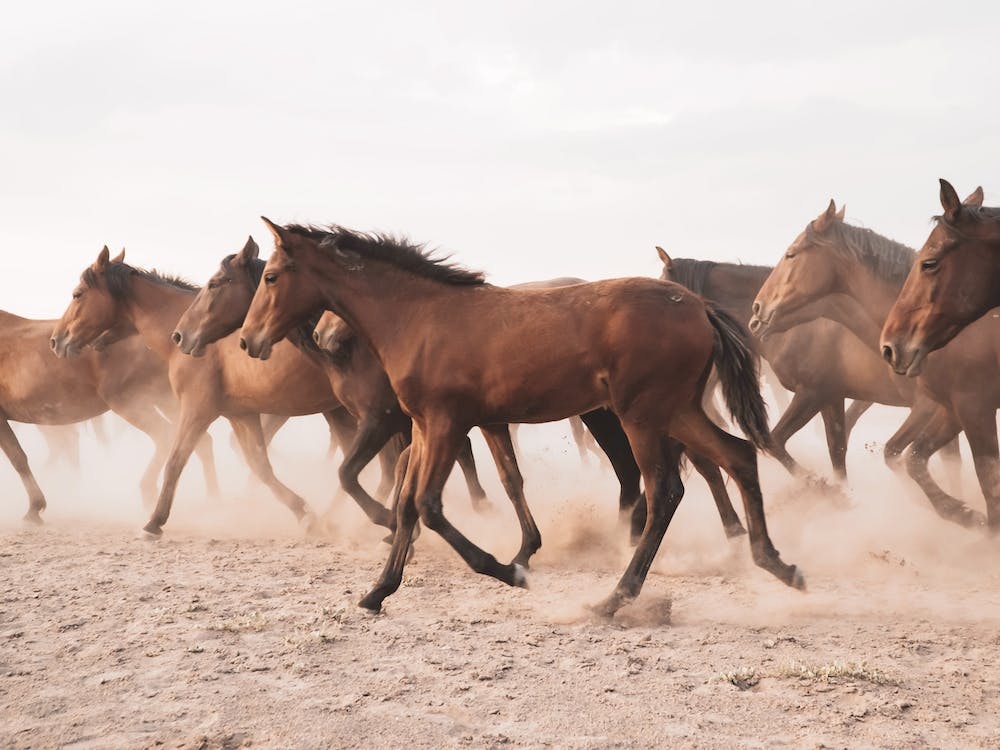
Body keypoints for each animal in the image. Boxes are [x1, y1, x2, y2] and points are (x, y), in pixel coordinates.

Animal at [50, 247, 352, 537]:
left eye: (78, 294)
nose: (56, 340)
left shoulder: (197, 409)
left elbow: (176, 460)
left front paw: (154, 522)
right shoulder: (240, 414)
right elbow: (259, 465)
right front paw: (304, 514)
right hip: (334, 410)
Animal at [239, 220, 803, 616]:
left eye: (271, 276)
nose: (248, 340)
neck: (419, 318)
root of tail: (698, 306)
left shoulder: (446, 423)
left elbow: (428, 506)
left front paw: (509, 570)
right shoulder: (424, 426)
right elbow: (406, 504)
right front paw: (378, 590)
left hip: (641, 415)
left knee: (664, 489)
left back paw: (613, 598)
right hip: (675, 409)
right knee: (737, 455)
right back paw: (776, 563)